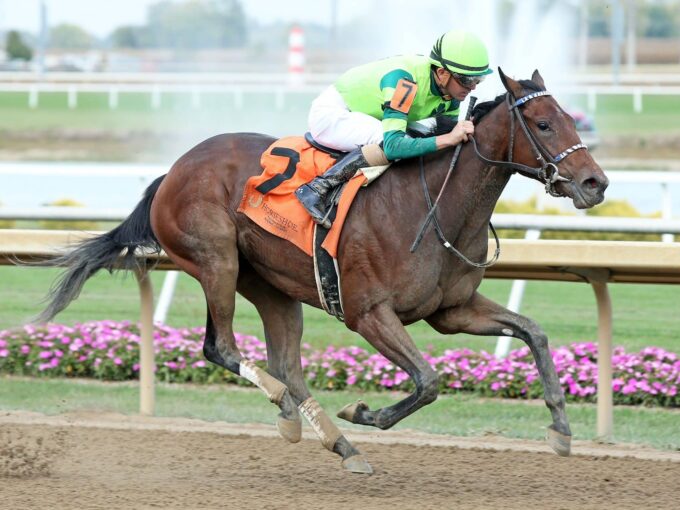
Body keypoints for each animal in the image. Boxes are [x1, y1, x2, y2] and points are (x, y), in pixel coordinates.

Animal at [35, 68, 612, 474]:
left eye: (571, 119)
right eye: (543, 124)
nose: (595, 184)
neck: (430, 205)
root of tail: (172, 170)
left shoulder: (453, 311)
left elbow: (534, 332)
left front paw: (561, 426)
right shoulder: (369, 313)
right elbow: (429, 381)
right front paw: (366, 413)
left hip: (271, 284)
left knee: (286, 363)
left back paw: (334, 441)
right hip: (216, 261)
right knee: (222, 347)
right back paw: (290, 407)